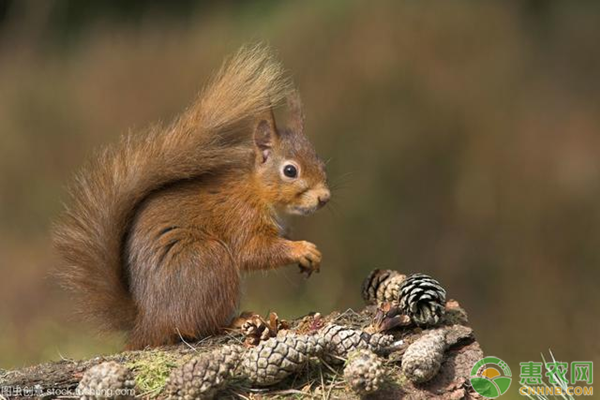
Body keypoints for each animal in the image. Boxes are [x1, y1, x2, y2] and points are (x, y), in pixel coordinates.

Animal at [54, 44, 330, 350]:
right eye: (290, 171)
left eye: (320, 161)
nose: (325, 198)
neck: (257, 190)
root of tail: (148, 322)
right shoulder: (241, 216)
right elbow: (254, 251)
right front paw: (302, 249)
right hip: (208, 262)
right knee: (201, 325)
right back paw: (236, 320)